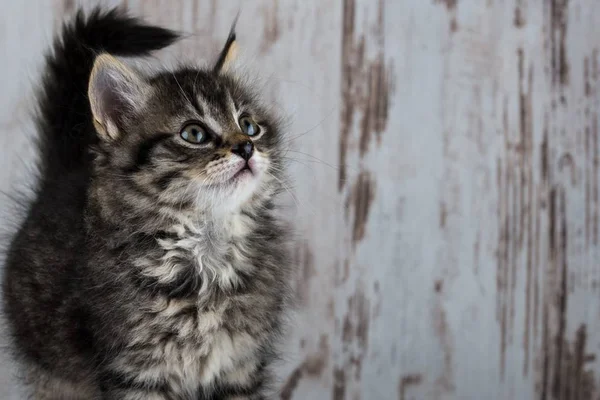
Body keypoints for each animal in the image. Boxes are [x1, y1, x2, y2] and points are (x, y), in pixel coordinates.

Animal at [2, 6, 292, 400]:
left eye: (248, 126)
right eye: (194, 133)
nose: (246, 147)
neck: (206, 253)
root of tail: (62, 175)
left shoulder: (240, 367)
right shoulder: (136, 372)